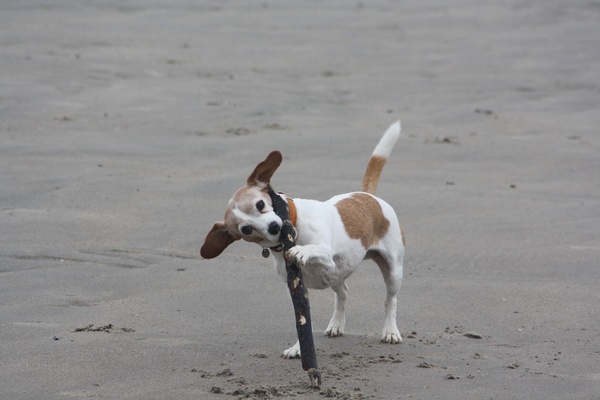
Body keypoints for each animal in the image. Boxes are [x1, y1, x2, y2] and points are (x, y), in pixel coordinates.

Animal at [199, 120, 406, 358]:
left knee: (390, 300)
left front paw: (301, 251)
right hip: (337, 275)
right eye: (247, 229)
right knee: (343, 293)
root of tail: (368, 195)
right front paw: (299, 348)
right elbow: (303, 321)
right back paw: (336, 324)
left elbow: (313, 249)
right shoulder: (299, 287)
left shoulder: (327, 255)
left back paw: (390, 330)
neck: (295, 228)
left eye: (260, 204)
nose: (274, 227)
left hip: (392, 270)